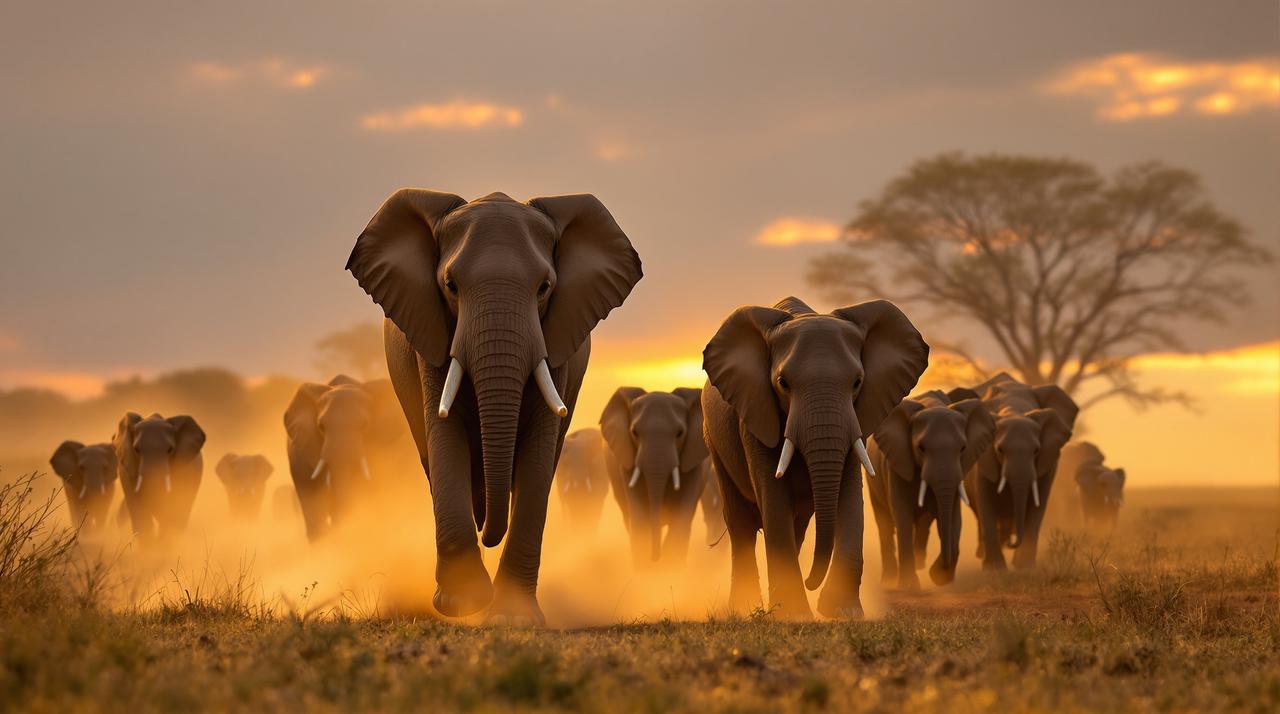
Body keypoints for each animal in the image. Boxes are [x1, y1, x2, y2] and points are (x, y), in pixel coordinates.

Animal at [346, 189, 642, 625]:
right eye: (450, 285)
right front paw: (462, 604)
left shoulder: (558, 344)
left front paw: (513, 618)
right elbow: (444, 433)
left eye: (544, 287)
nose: (490, 534)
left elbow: (538, 452)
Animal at [600, 387, 708, 568]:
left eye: (680, 433)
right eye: (634, 432)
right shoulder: (627, 460)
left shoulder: (694, 462)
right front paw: (646, 571)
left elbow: (681, 518)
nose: (655, 557)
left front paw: (670, 569)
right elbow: (639, 518)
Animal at [702, 297, 929, 618]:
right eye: (783, 383)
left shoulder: (857, 415)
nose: (812, 582)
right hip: (714, 441)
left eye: (857, 382)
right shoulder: (755, 413)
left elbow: (849, 496)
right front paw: (794, 615)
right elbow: (774, 495)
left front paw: (842, 612)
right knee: (741, 525)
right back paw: (744, 609)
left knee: (795, 526)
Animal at [866, 389, 994, 589]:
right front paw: (910, 587)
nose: (940, 570)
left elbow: (953, 518)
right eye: (921, 448)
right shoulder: (897, 462)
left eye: (963, 448)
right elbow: (902, 516)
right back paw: (889, 580)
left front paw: (938, 577)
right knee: (884, 523)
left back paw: (920, 565)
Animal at [962, 373, 1078, 570]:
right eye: (1000, 450)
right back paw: (983, 553)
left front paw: (1024, 567)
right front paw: (994, 570)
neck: (1014, 410)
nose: (1011, 541)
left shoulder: (1049, 461)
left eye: (1036, 451)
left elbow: (1038, 507)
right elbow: (986, 503)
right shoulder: (983, 459)